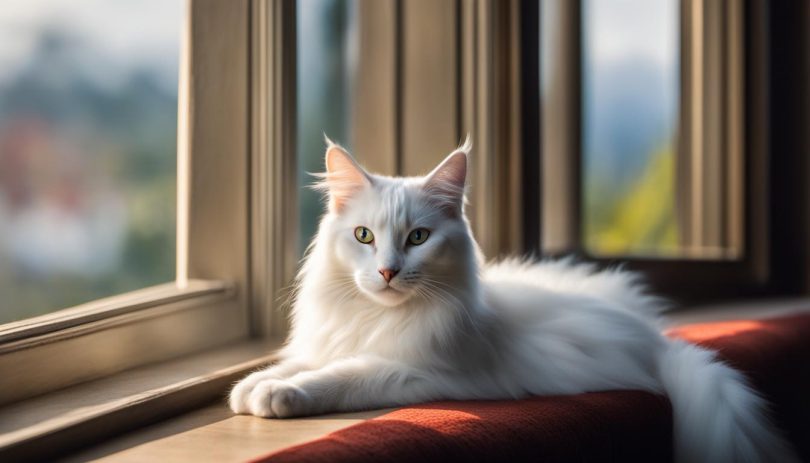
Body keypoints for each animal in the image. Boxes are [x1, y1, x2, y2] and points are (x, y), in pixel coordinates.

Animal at [229, 139, 796, 463]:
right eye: (364, 237)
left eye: (418, 238)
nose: (388, 271)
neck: (375, 318)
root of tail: (656, 339)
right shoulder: (329, 341)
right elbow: (300, 362)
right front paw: (252, 386)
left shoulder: (419, 371)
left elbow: (340, 376)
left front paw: (281, 395)